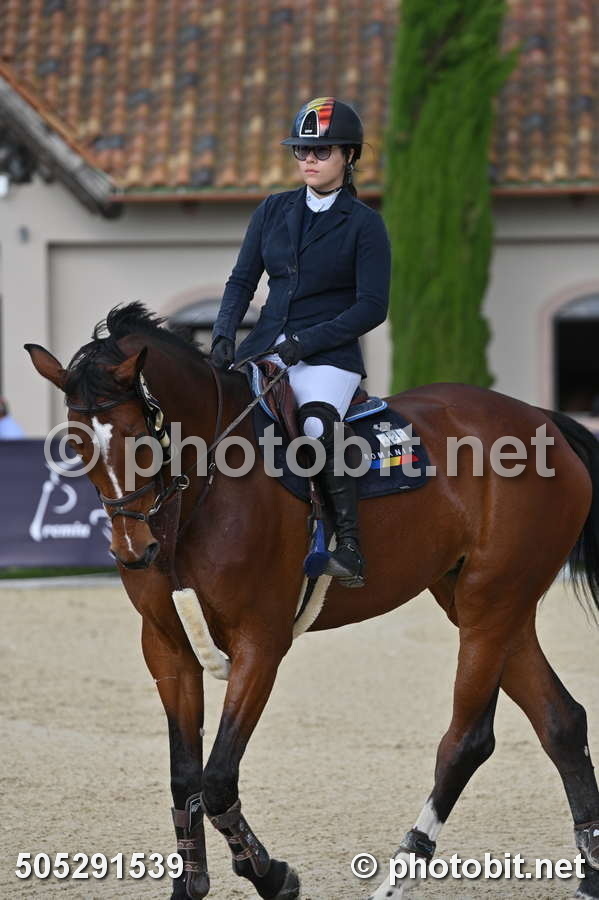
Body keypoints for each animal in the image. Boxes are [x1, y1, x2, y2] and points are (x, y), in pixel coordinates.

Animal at [26, 302, 599, 900]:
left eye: (140, 435)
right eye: (75, 443)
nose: (134, 550)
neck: (202, 489)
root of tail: (541, 420)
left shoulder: (261, 644)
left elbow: (217, 780)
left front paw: (271, 875)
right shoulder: (166, 647)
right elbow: (185, 778)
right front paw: (192, 884)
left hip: (491, 605)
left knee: (467, 740)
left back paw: (398, 873)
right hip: (487, 604)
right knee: (561, 721)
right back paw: (590, 873)